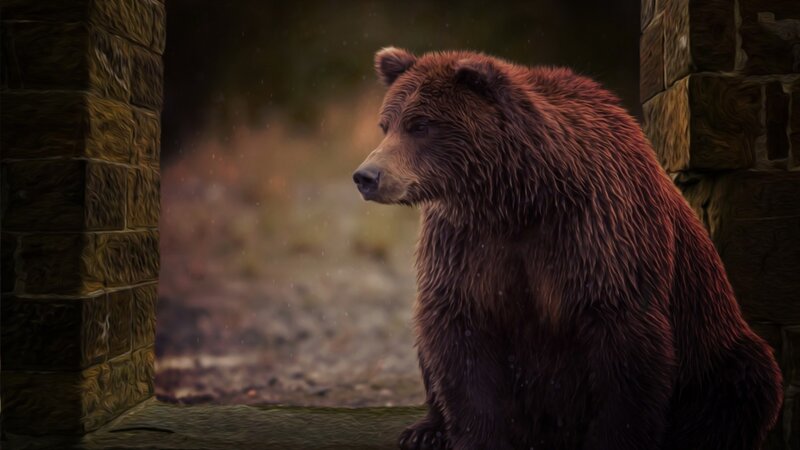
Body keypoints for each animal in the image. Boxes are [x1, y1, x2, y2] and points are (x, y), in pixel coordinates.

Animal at [352, 48, 783, 450]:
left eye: (420, 125)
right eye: (386, 124)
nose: (367, 176)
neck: (518, 199)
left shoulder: (600, 236)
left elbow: (625, 352)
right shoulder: (467, 244)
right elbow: (459, 331)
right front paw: (475, 435)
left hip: (714, 347)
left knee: (743, 383)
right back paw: (425, 430)